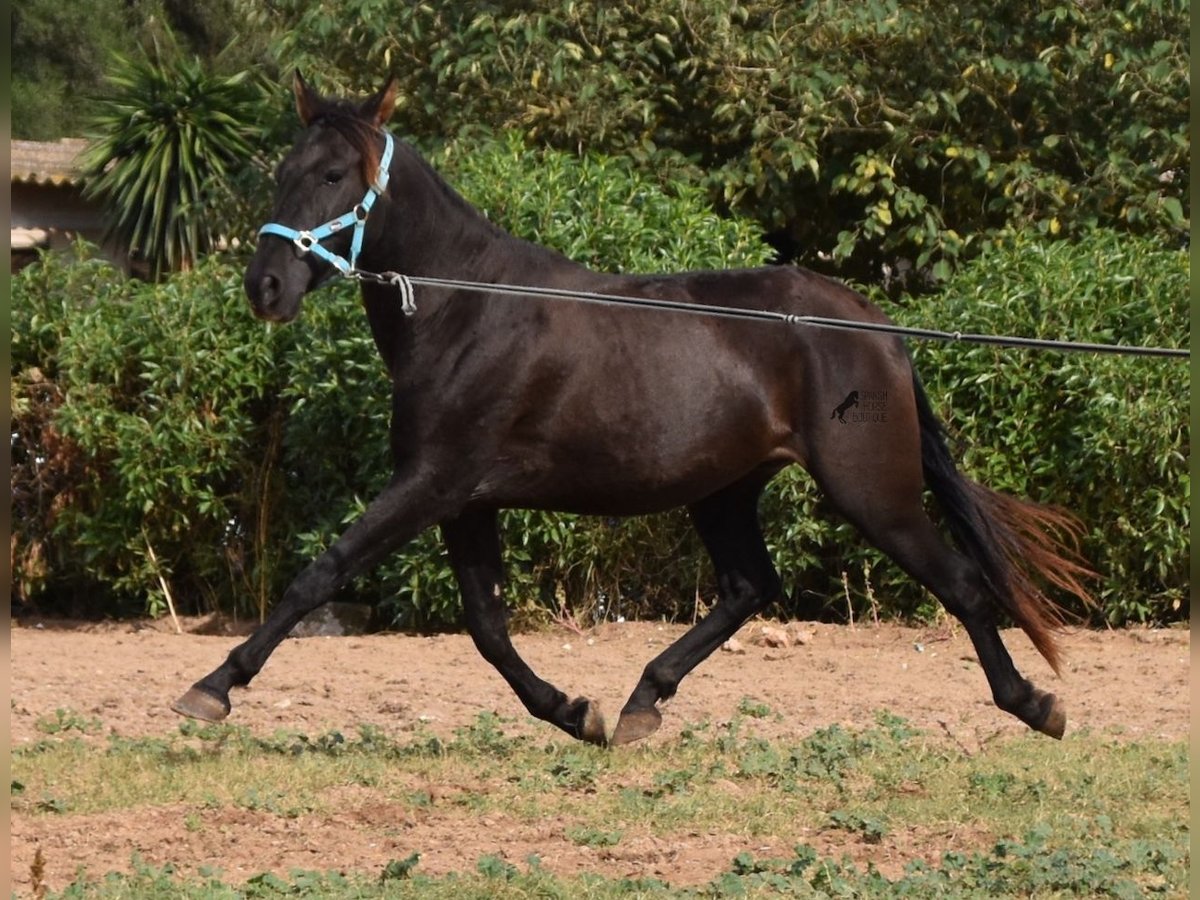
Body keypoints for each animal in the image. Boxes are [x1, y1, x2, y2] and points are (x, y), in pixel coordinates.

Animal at [174, 75, 1094, 748]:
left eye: (335, 175)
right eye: (281, 173)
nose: (265, 287)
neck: (465, 309)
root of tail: (877, 329)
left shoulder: (432, 483)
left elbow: (322, 573)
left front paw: (212, 687)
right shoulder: (465, 499)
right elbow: (486, 624)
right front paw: (572, 713)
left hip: (873, 492)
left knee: (962, 585)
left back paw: (1035, 705)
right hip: (726, 489)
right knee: (749, 586)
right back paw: (641, 703)